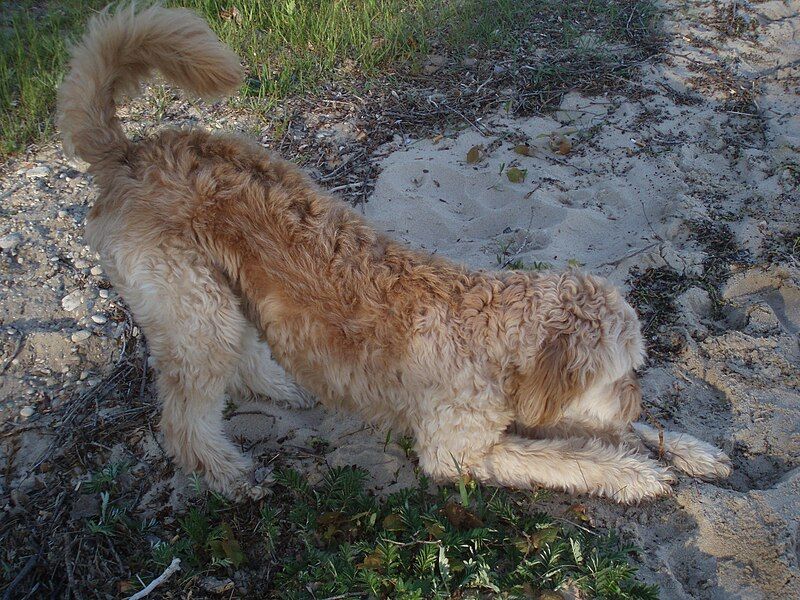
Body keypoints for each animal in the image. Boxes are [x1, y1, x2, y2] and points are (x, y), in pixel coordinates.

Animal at [56, 3, 732, 502]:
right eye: (622, 373)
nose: (634, 401)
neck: (492, 337)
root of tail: (128, 153)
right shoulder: (459, 449)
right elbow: (569, 458)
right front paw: (634, 473)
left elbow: (609, 435)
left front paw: (689, 449)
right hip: (194, 309)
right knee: (184, 422)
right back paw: (230, 476)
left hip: (220, 297)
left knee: (242, 363)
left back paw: (284, 390)